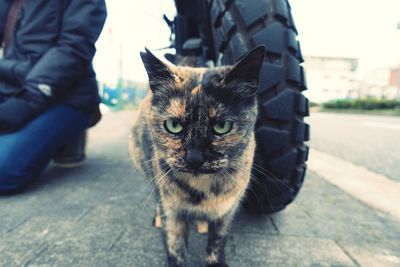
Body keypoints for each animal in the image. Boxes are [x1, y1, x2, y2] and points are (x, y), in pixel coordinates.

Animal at [129, 46, 266, 267]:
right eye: (174, 125)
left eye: (221, 126)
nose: (194, 158)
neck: (203, 189)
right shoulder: (172, 212)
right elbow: (174, 246)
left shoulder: (226, 212)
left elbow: (218, 241)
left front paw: (216, 261)